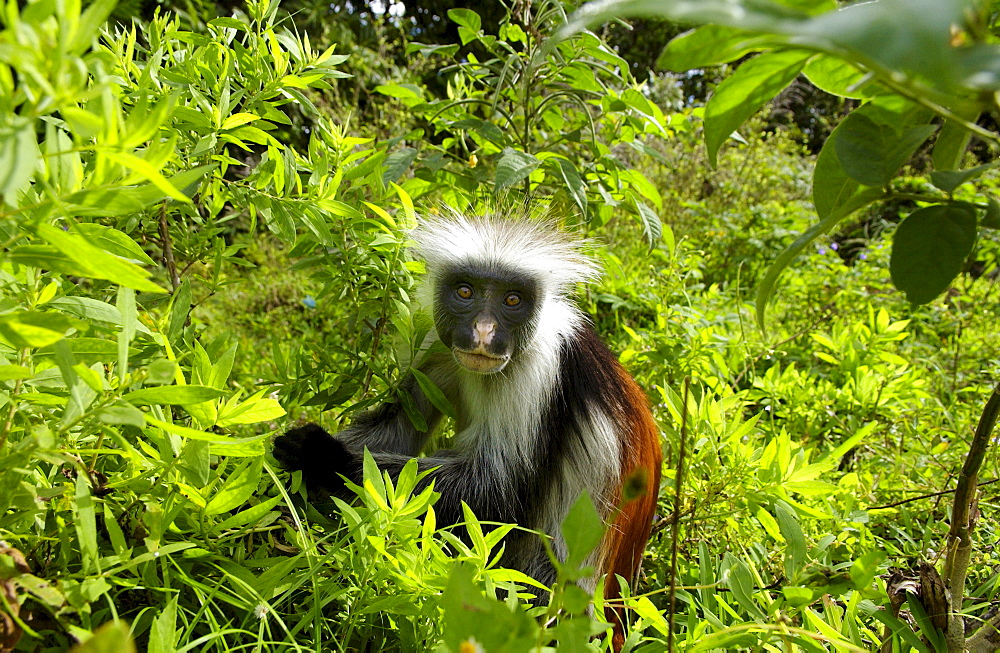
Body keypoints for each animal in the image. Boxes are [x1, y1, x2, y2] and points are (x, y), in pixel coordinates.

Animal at [276, 215, 664, 648]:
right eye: (465, 291)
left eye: (513, 300)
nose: (482, 332)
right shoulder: (435, 343)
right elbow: (397, 432)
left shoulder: (538, 371)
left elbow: (493, 494)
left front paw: (318, 455)